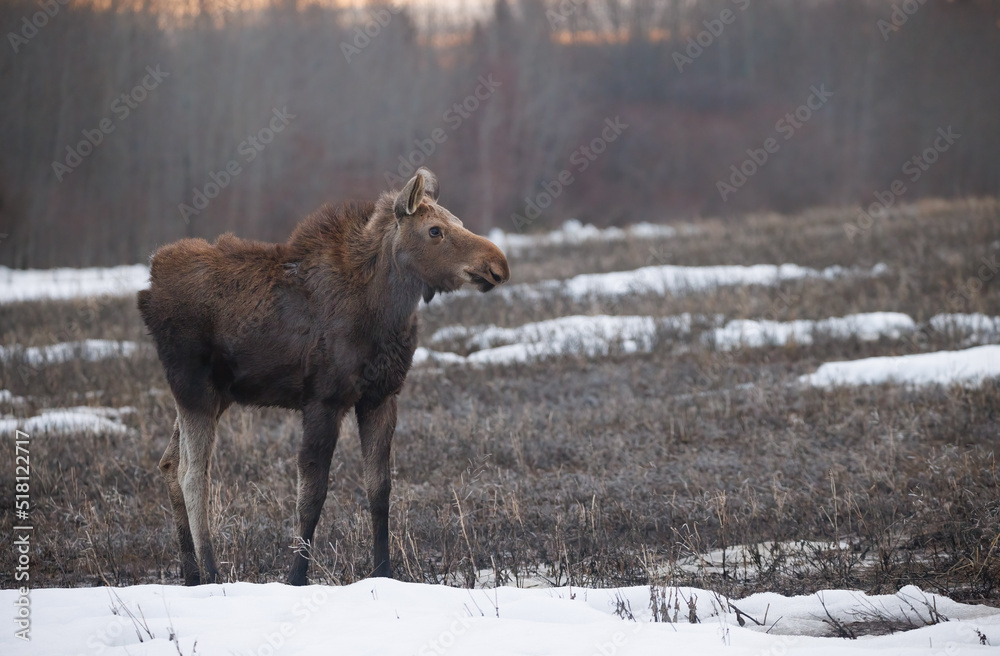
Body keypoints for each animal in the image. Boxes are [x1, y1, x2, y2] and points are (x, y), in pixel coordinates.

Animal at [137, 168, 509, 585]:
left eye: (458, 222)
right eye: (434, 230)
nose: (497, 265)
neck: (385, 311)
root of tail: (149, 285)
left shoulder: (381, 397)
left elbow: (380, 490)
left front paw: (384, 571)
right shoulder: (322, 400)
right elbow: (312, 496)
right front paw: (296, 576)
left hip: (215, 395)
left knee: (169, 464)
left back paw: (192, 575)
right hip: (193, 387)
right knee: (192, 474)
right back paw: (213, 573)